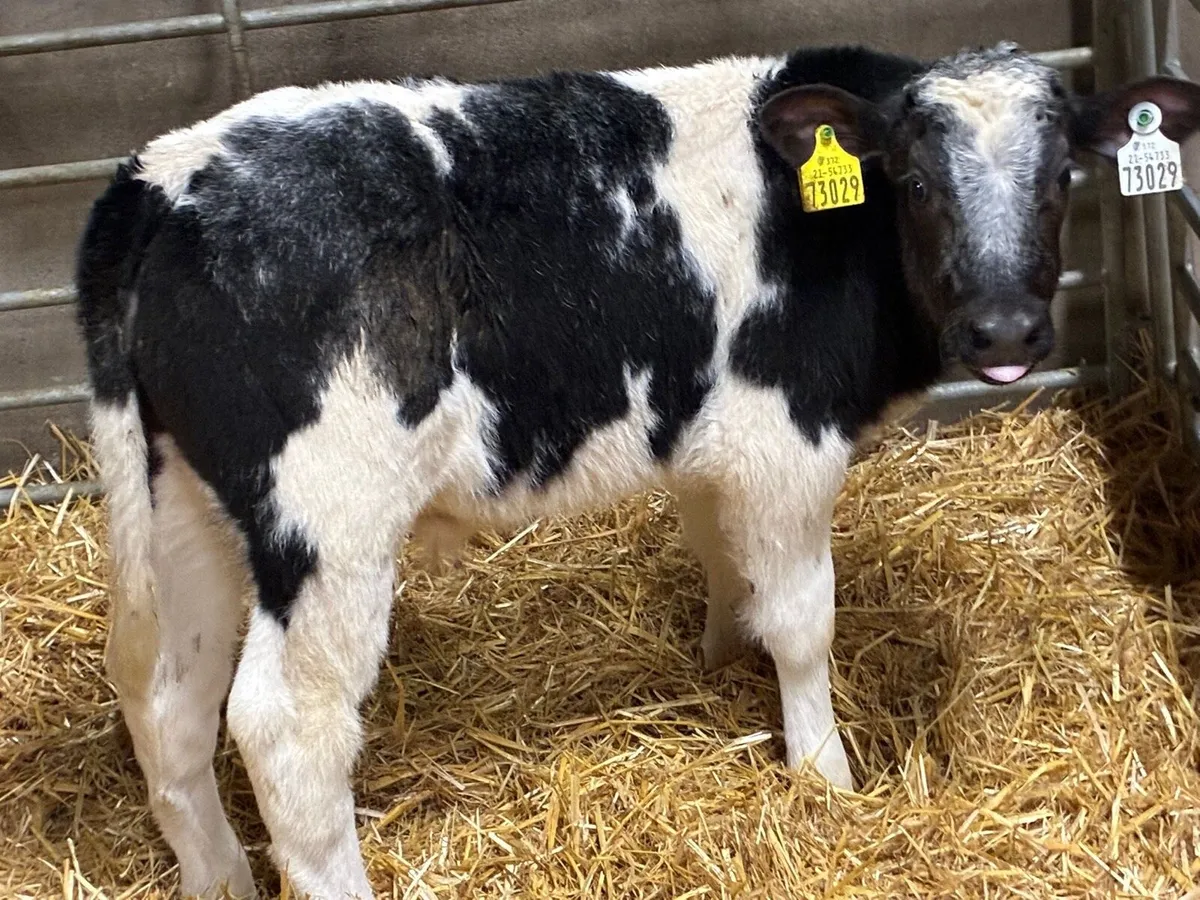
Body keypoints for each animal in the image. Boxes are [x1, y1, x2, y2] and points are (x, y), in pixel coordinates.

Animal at [75, 40, 1200, 899]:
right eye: (917, 184)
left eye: (1062, 178)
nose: (1007, 330)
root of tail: (160, 180)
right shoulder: (785, 439)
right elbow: (804, 621)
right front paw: (826, 777)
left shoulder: (711, 444)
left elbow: (721, 560)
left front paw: (718, 660)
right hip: (328, 524)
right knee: (284, 730)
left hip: (178, 504)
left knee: (164, 696)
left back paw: (217, 878)